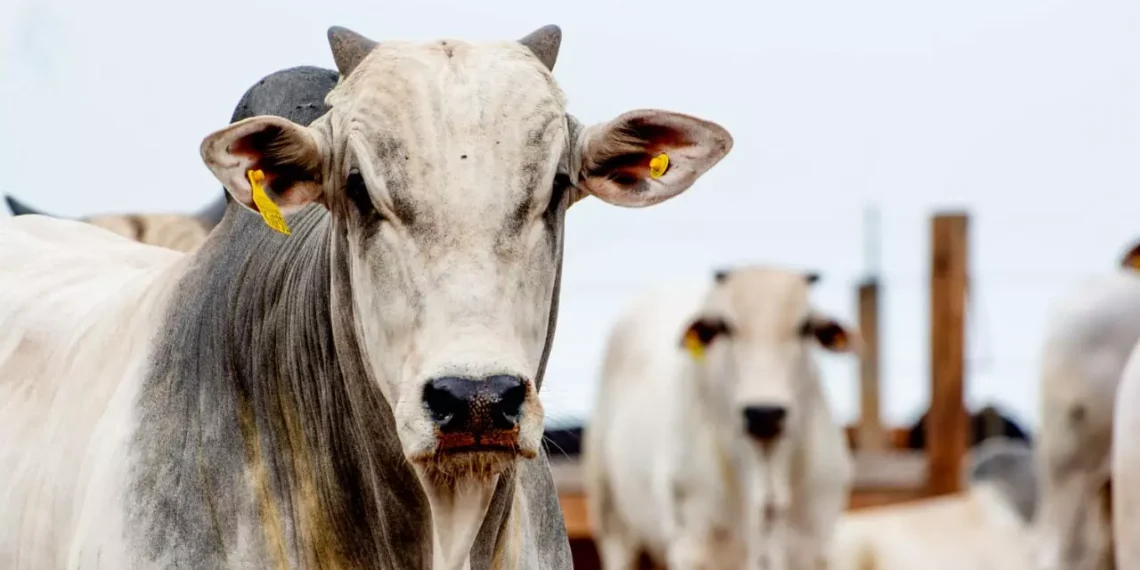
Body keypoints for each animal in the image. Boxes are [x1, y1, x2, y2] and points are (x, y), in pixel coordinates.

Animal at [582, 267, 858, 570]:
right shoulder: (692, 544)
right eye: (725, 327)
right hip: (612, 517)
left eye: (806, 327)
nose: (764, 413)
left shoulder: (817, 544)